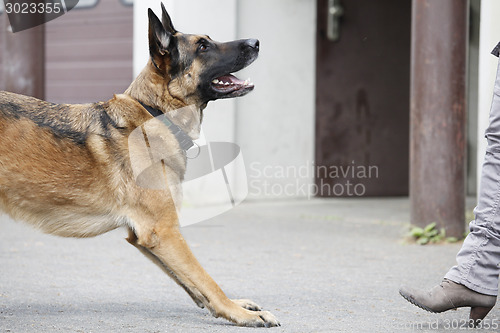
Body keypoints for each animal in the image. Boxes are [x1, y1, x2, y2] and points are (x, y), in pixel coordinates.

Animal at [0, 3, 282, 326]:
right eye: (202, 46)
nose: (255, 42)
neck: (155, 114)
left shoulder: (145, 236)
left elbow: (192, 282)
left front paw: (231, 306)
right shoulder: (163, 232)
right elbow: (207, 279)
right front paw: (239, 313)